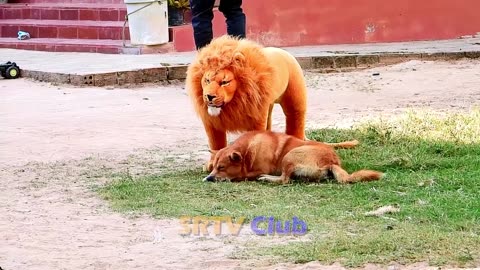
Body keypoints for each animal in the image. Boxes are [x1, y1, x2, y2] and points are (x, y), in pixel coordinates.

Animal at [204, 131, 384, 186]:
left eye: (221, 167)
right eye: (215, 166)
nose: (208, 178)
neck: (247, 149)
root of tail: (331, 161)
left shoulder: (255, 170)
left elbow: (242, 175)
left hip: (289, 156)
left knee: (284, 179)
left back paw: (268, 178)